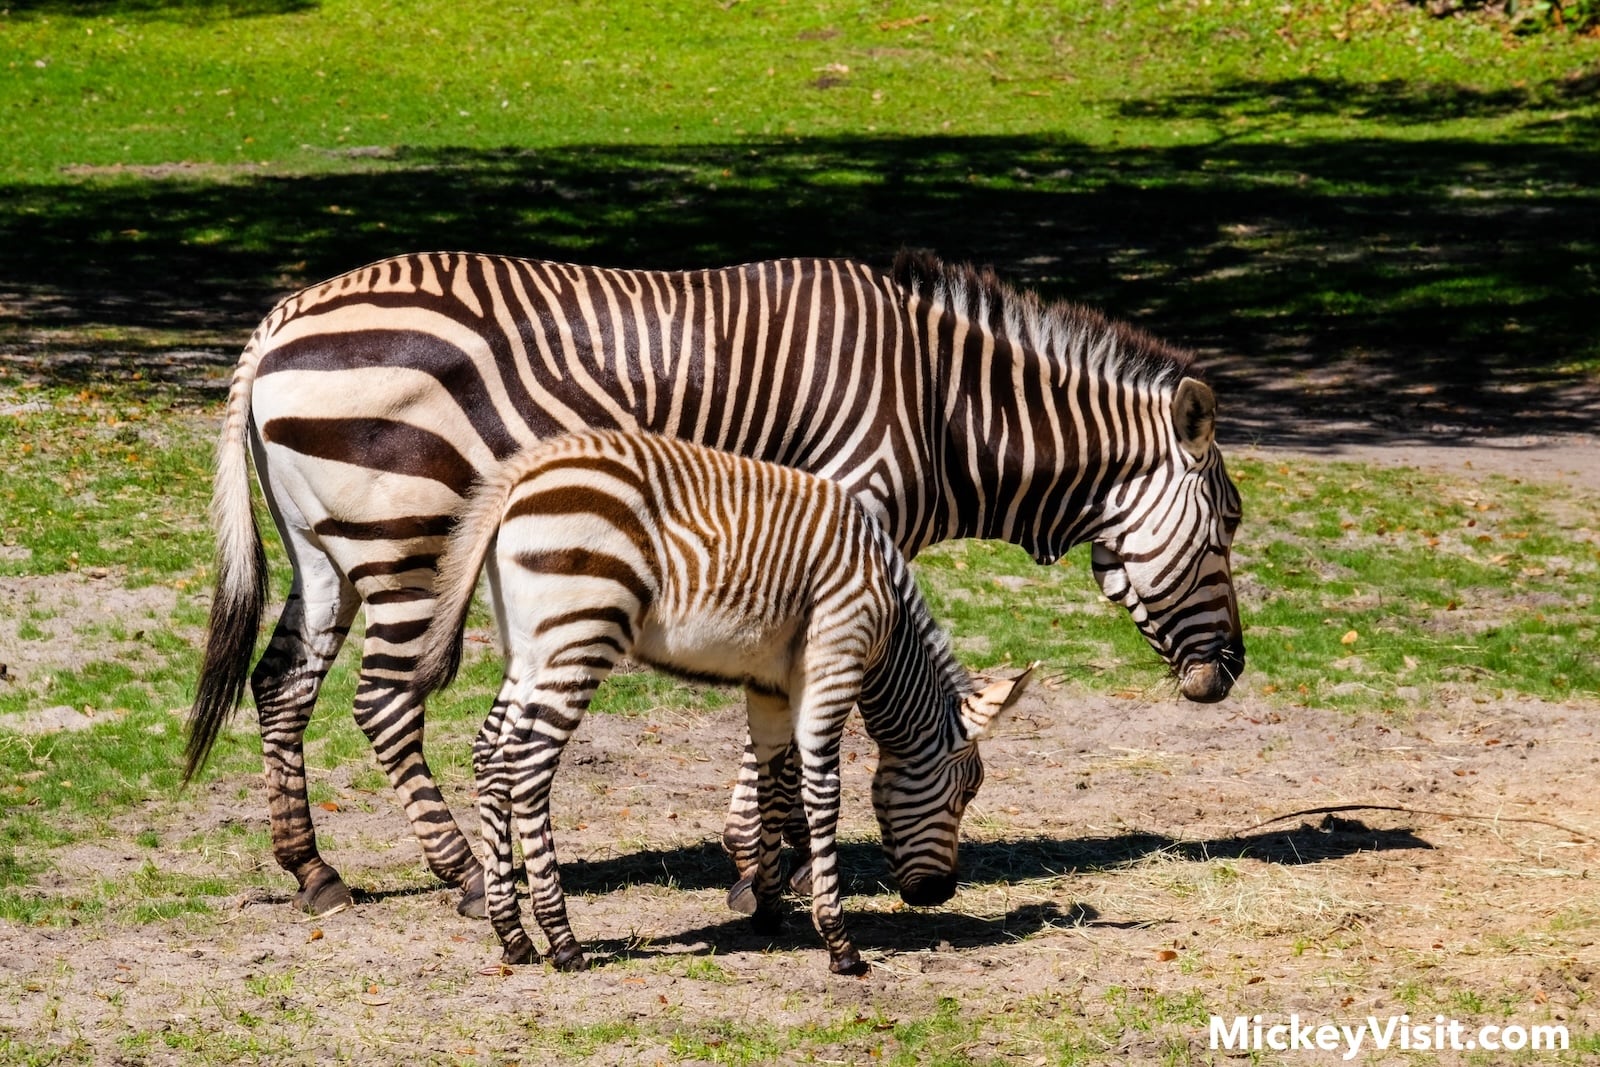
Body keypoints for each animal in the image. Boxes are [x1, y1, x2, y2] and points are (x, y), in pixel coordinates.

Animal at [411, 428, 1032, 975]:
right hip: (581, 636)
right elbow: (822, 792)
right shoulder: (836, 652)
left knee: (491, 754)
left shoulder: (771, 685)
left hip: (530, 648)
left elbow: (773, 785)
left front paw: (768, 905)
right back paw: (562, 941)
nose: (941, 894)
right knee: (529, 766)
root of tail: (523, 471)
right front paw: (838, 941)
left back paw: (512, 934)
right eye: (968, 791)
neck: (888, 622)